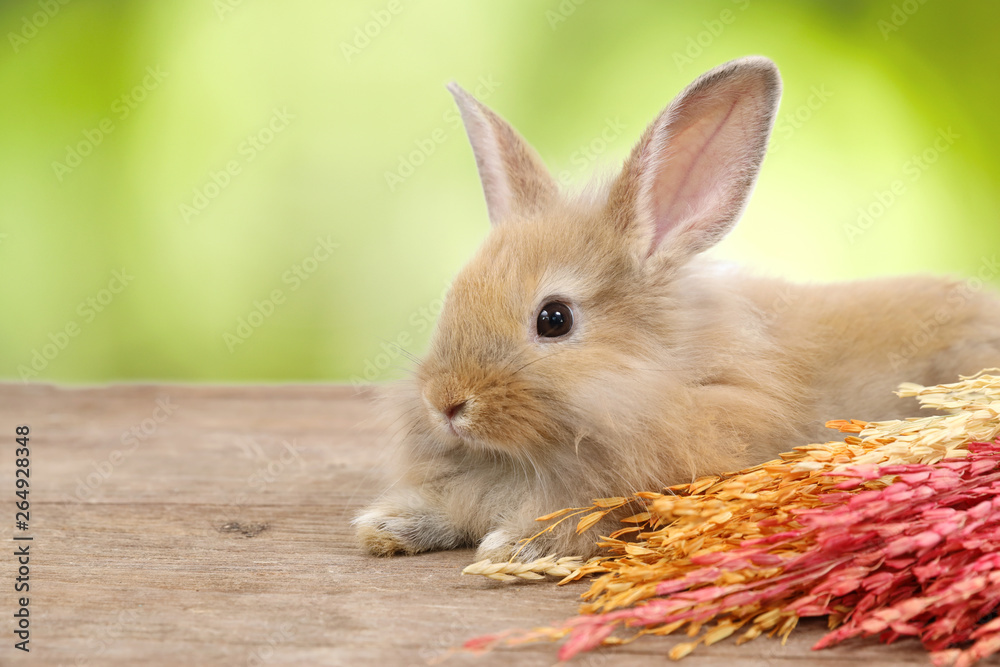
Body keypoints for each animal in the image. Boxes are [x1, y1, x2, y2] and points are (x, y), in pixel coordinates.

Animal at [354, 56, 1000, 562]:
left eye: (554, 319)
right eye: (453, 297)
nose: (445, 403)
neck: (664, 378)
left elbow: (581, 521)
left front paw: (510, 548)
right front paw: (386, 527)